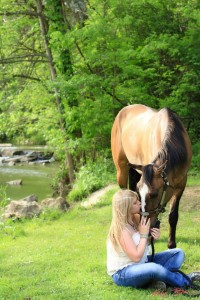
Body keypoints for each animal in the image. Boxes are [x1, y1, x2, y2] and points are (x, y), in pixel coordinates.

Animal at [111, 103, 192, 248]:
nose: (145, 227)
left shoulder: (181, 183)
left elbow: (173, 215)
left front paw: (171, 243)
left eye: (154, 194)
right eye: (140, 193)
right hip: (121, 170)